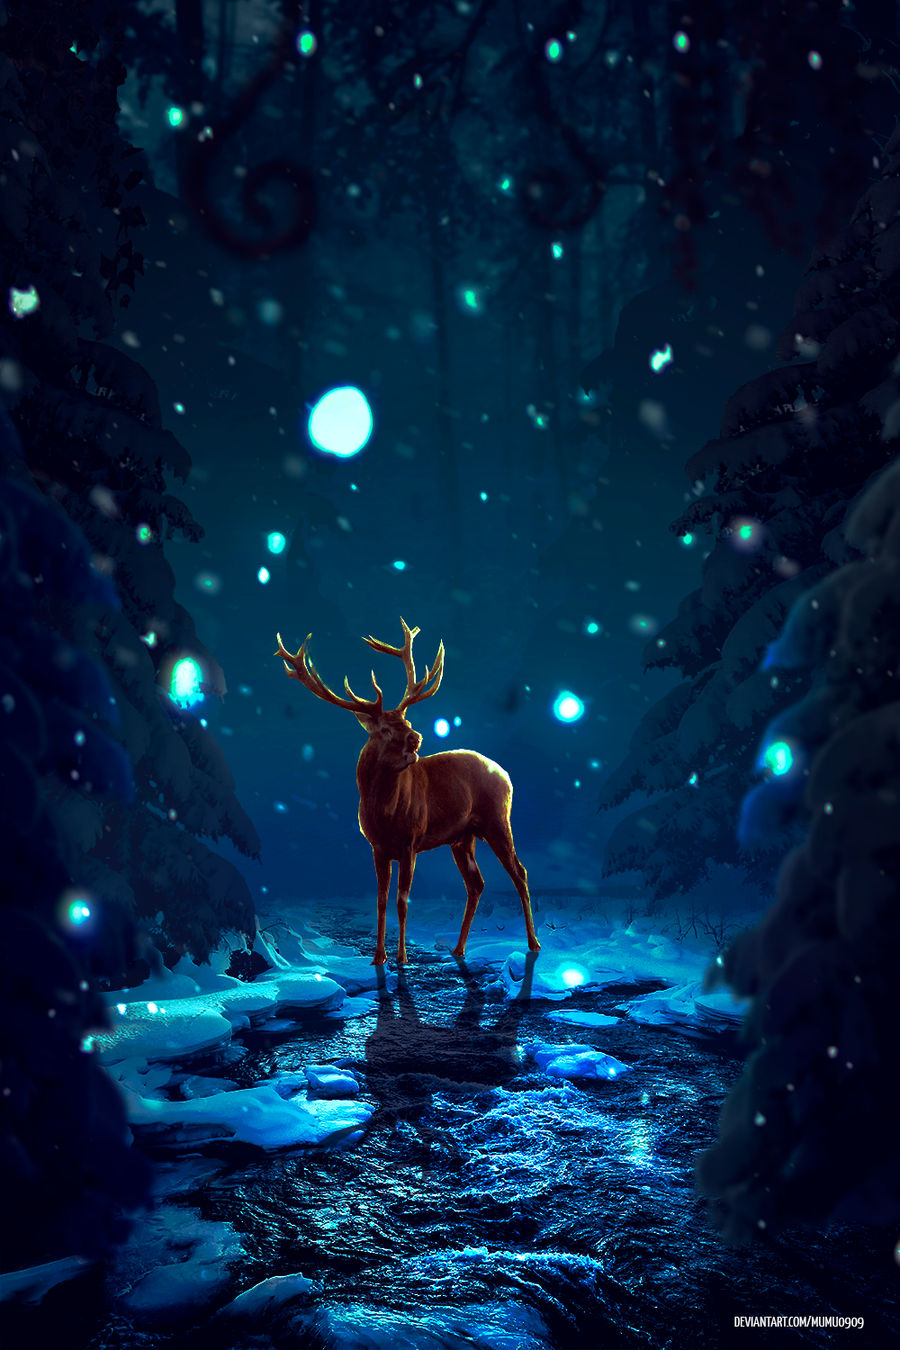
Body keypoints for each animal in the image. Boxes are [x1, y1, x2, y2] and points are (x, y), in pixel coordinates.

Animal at [275, 619, 541, 967]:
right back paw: (458, 949)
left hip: (497, 820)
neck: (384, 812)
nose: (417, 737)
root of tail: (506, 775)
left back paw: (533, 943)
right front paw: (378, 957)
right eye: (386, 729)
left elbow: (402, 901)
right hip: (462, 837)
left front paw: (400, 957)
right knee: (476, 884)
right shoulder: (377, 847)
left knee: (519, 872)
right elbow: (381, 900)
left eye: (407, 720)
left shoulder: (411, 841)